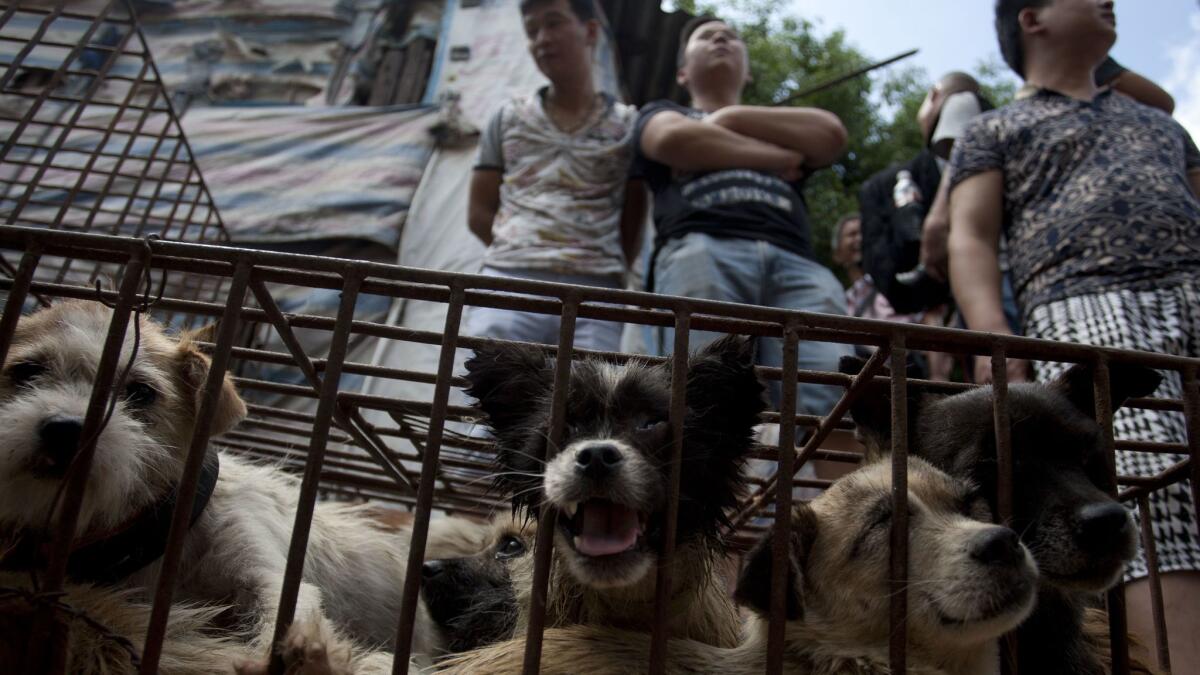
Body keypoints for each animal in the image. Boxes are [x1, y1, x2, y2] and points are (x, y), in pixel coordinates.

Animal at [0, 300, 439, 672]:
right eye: (26, 371)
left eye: (140, 392)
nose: (64, 430)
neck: (168, 537)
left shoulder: (261, 568)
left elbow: (281, 611)